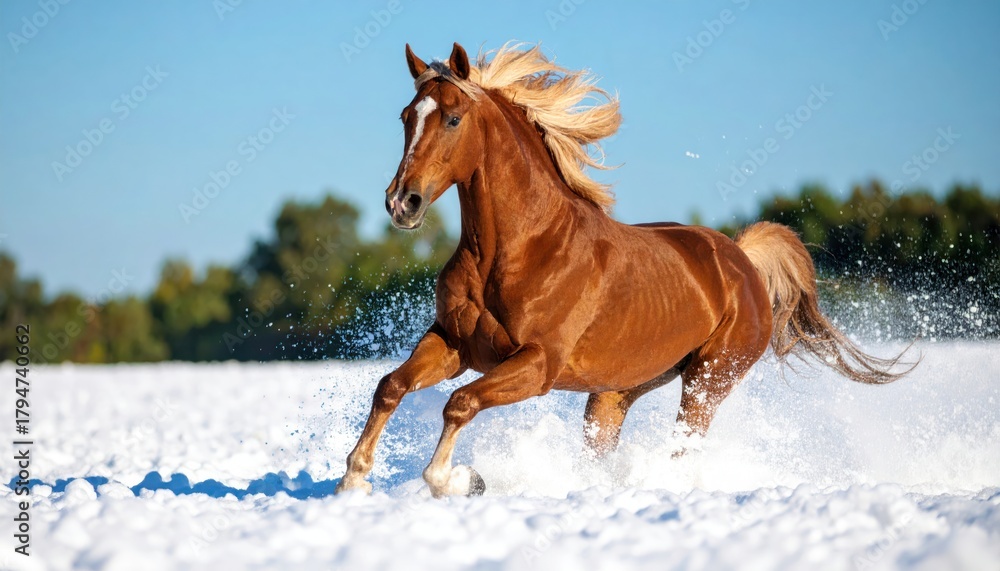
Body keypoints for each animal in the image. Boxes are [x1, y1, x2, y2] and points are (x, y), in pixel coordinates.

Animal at [334, 42, 907, 498]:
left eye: (453, 119)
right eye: (407, 116)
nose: (401, 203)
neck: (518, 251)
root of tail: (741, 260)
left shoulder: (537, 365)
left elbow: (460, 403)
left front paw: (460, 480)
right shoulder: (454, 344)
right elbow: (390, 386)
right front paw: (353, 480)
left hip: (707, 383)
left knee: (683, 449)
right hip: (614, 393)